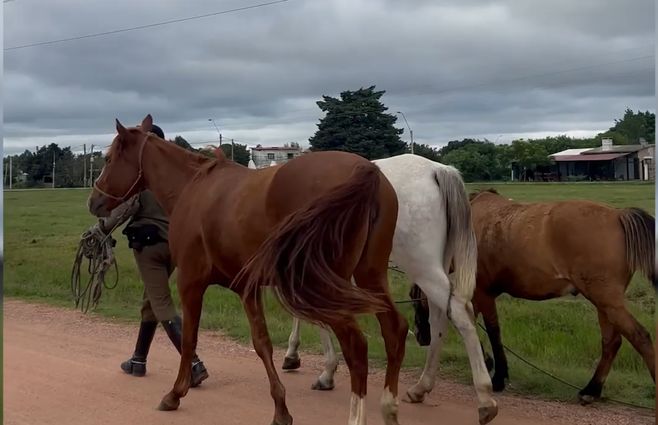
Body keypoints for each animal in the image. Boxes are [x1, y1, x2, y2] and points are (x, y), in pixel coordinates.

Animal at [88, 115, 408, 425]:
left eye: (108, 158)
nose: (94, 202)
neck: (194, 188)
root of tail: (366, 169)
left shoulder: (190, 282)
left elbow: (190, 337)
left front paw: (176, 393)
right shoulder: (247, 288)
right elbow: (262, 343)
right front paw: (280, 407)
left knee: (356, 346)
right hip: (368, 276)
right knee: (395, 330)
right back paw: (389, 409)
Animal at [281, 154, 498, 424]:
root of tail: (437, 170)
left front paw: (302, 359)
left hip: (421, 264)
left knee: (459, 312)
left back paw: (485, 398)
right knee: (440, 317)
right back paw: (422, 387)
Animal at [408, 188, 655, 404]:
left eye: (413, 299)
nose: (420, 336)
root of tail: (618, 215)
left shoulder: (484, 294)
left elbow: (493, 333)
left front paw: (498, 376)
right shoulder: (477, 297)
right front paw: (487, 362)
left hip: (606, 300)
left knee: (640, 337)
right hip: (604, 304)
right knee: (611, 342)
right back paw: (591, 390)